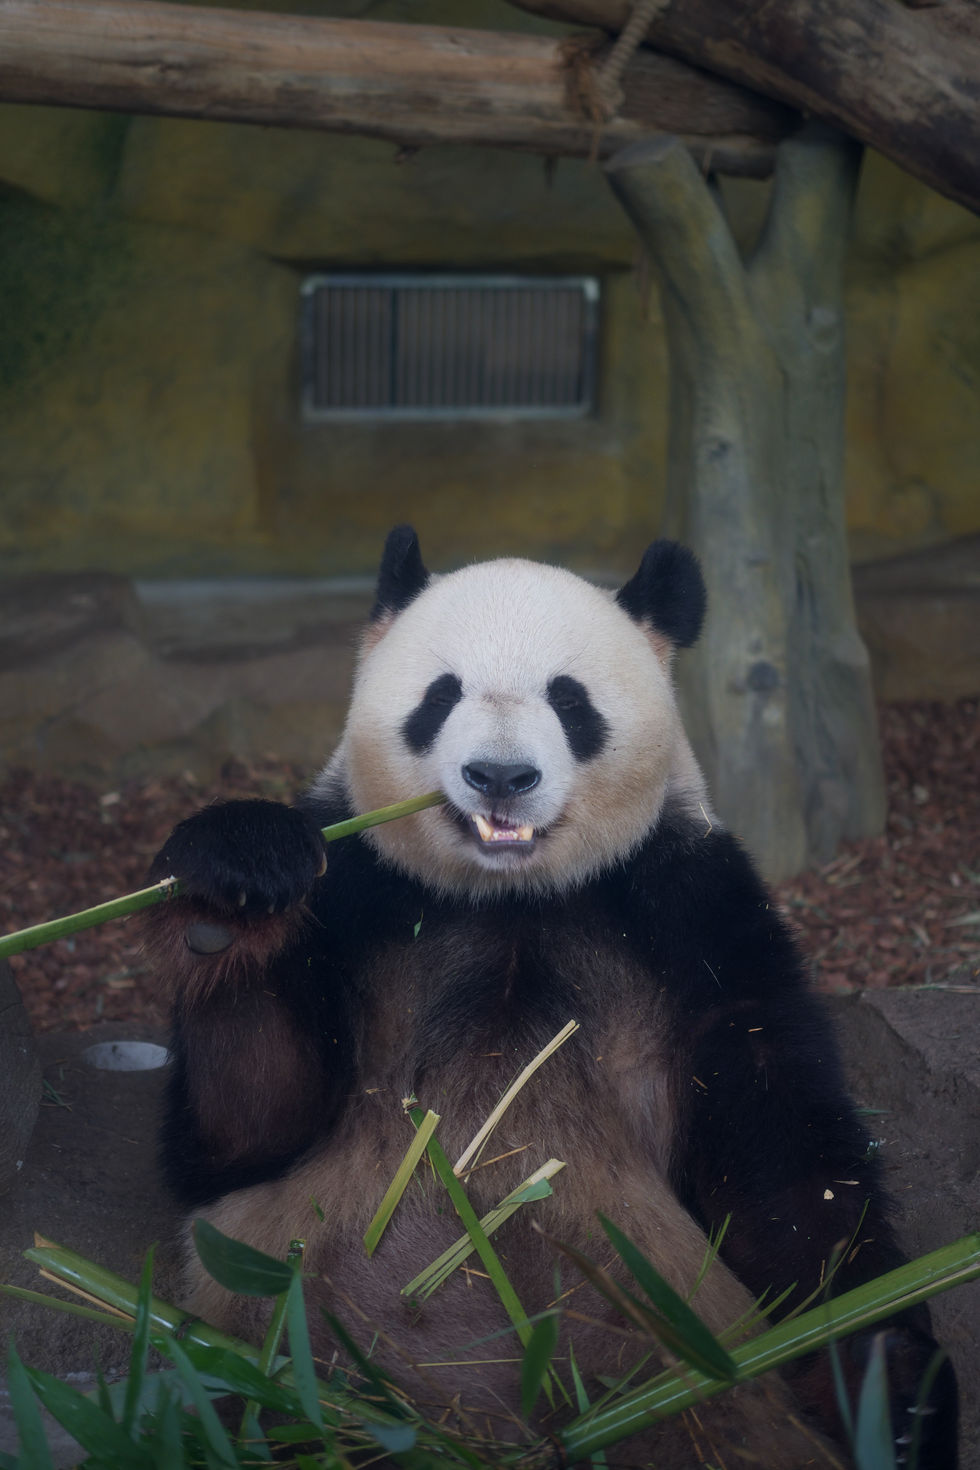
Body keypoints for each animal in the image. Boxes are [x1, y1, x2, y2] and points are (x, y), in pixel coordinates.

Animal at [147, 526, 957, 1468]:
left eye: (571, 701)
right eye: (441, 696)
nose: (500, 776)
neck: (512, 894)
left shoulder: (690, 907)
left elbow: (787, 1165)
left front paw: (894, 1385)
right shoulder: (358, 887)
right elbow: (246, 1133)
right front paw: (229, 894)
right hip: (261, 1358)